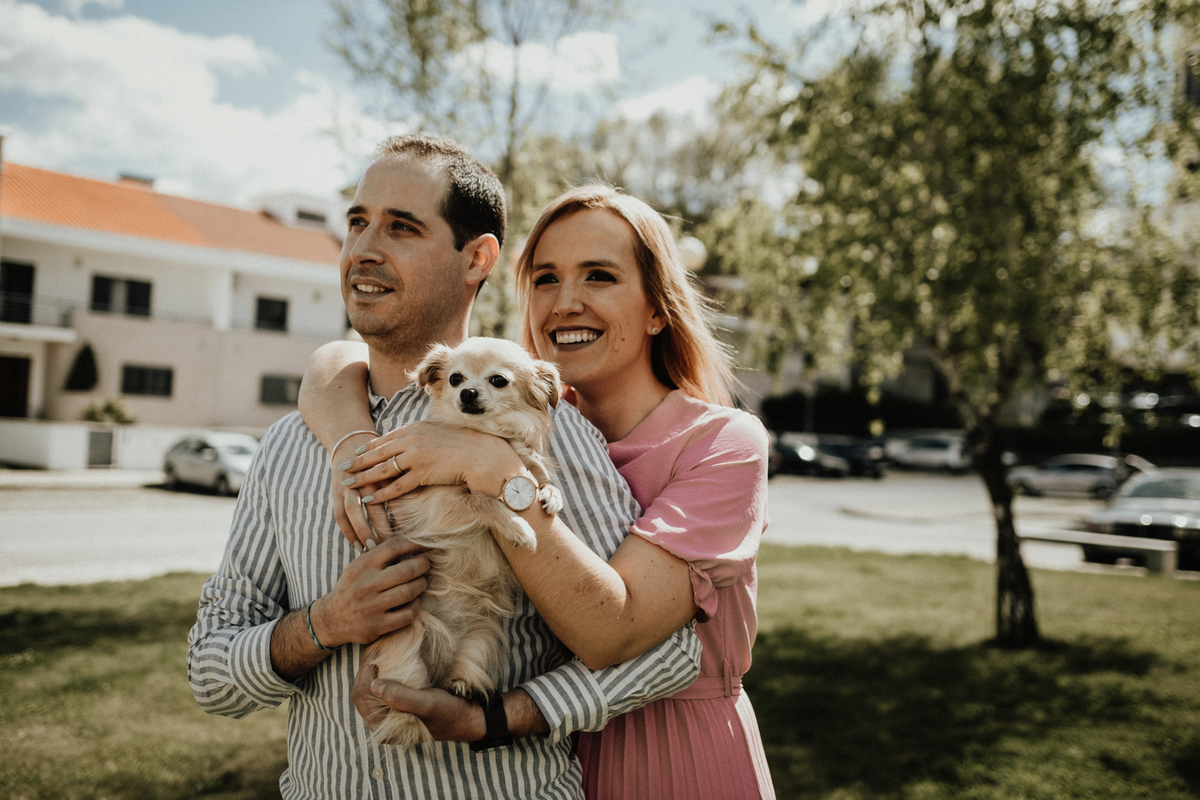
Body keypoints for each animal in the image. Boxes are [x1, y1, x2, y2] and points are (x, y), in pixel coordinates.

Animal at [359, 337, 563, 747]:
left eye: (498, 380)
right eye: (455, 379)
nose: (467, 393)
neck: (489, 433)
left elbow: (536, 472)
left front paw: (550, 495)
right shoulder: (440, 505)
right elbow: (482, 500)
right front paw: (518, 527)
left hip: (479, 639)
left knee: (459, 670)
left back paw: (459, 686)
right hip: (409, 635)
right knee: (406, 695)